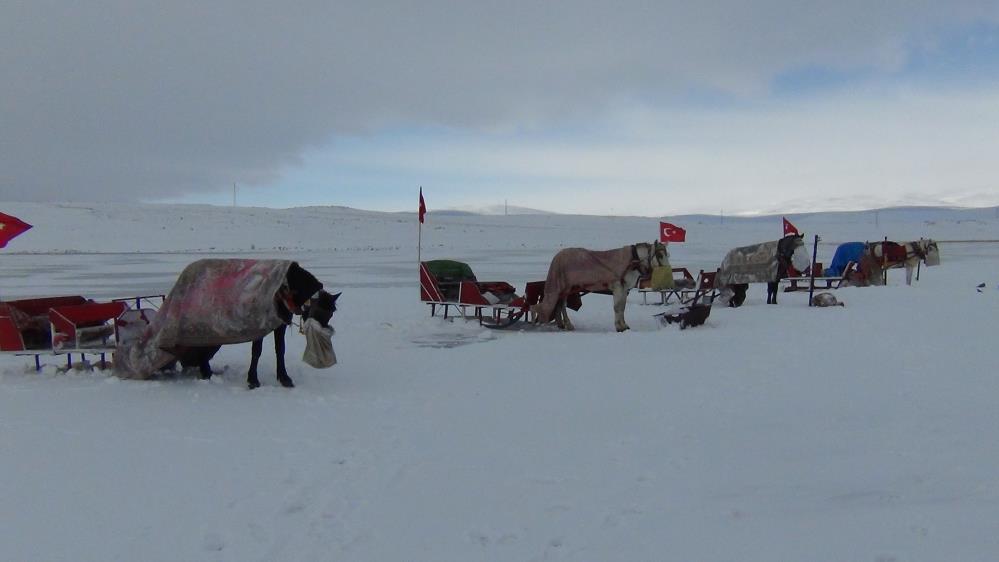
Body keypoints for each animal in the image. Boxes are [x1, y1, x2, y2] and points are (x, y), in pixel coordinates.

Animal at [536, 240, 668, 328]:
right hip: (566, 288)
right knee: (562, 305)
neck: (633, 262)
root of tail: (557, 256)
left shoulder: (624, 289)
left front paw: (624, 325)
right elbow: (617, 307)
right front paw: (619, 327)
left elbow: (622, 307)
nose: (667, 270)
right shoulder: (618, 287)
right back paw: (568, 324)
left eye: (667, 255)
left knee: (559, 305)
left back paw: (562, 324)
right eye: (660, 255)